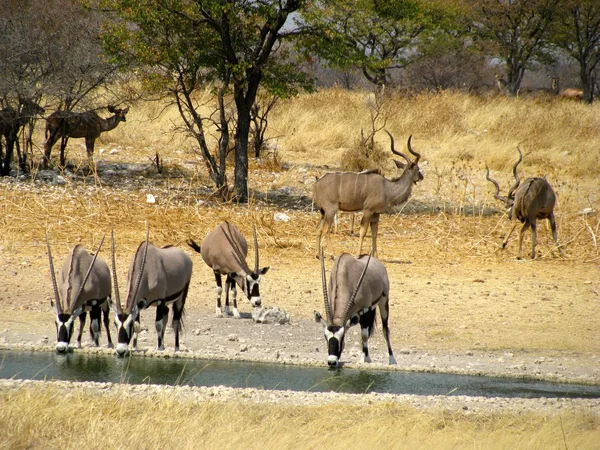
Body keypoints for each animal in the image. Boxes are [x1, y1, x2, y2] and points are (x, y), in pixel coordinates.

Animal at [312, 130, 424, 258]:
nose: (421, 177)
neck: (386, 187)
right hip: (331, 209)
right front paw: (357, 255)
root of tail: (317, 183)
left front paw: (375, 256)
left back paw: (318, 255)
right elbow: (363, 232)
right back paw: (333, 255)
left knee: (318, 229)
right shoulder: (368, 210)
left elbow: (374, 233)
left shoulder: (376, 213)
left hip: (323, 212)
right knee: (325, 230)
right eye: (417, 169)